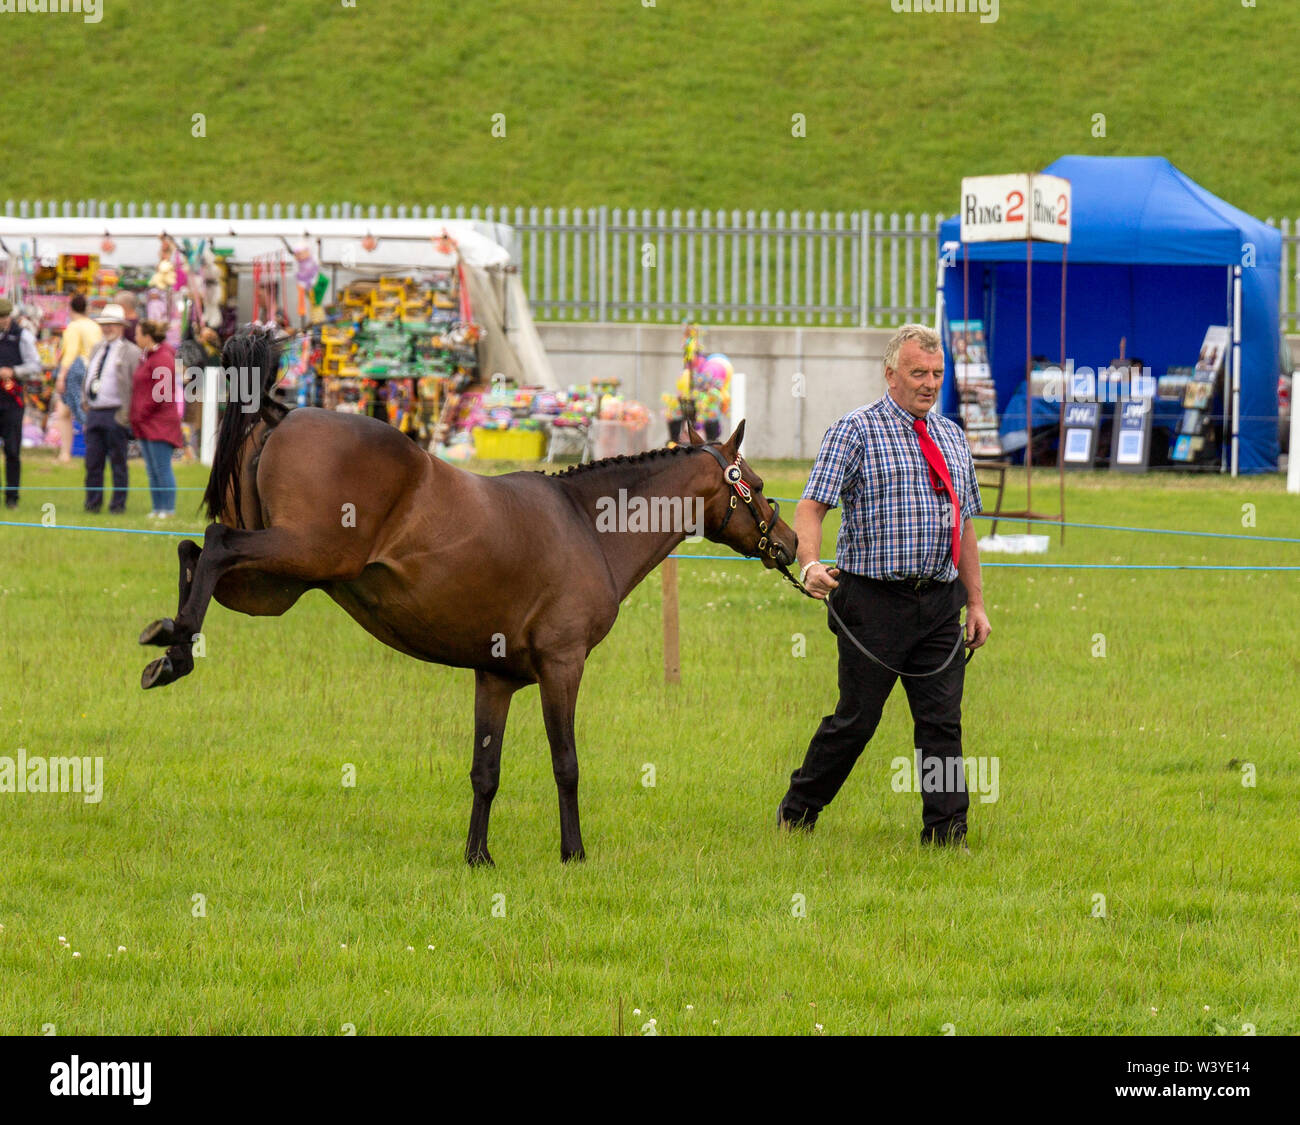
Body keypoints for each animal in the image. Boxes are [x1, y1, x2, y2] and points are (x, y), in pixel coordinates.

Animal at [137, 329, 795, 863]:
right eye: (757, 483)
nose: (787, 542)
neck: (586, 523)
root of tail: (282, 415)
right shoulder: (562, 666)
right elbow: (566, 765)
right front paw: (573, 853)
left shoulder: (495, 679)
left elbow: (486, 770)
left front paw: (478, 855)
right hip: (305, 556)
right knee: (216, 543)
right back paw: (176, 649)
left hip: (271, 587)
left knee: (195, 550)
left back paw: (168, 643)